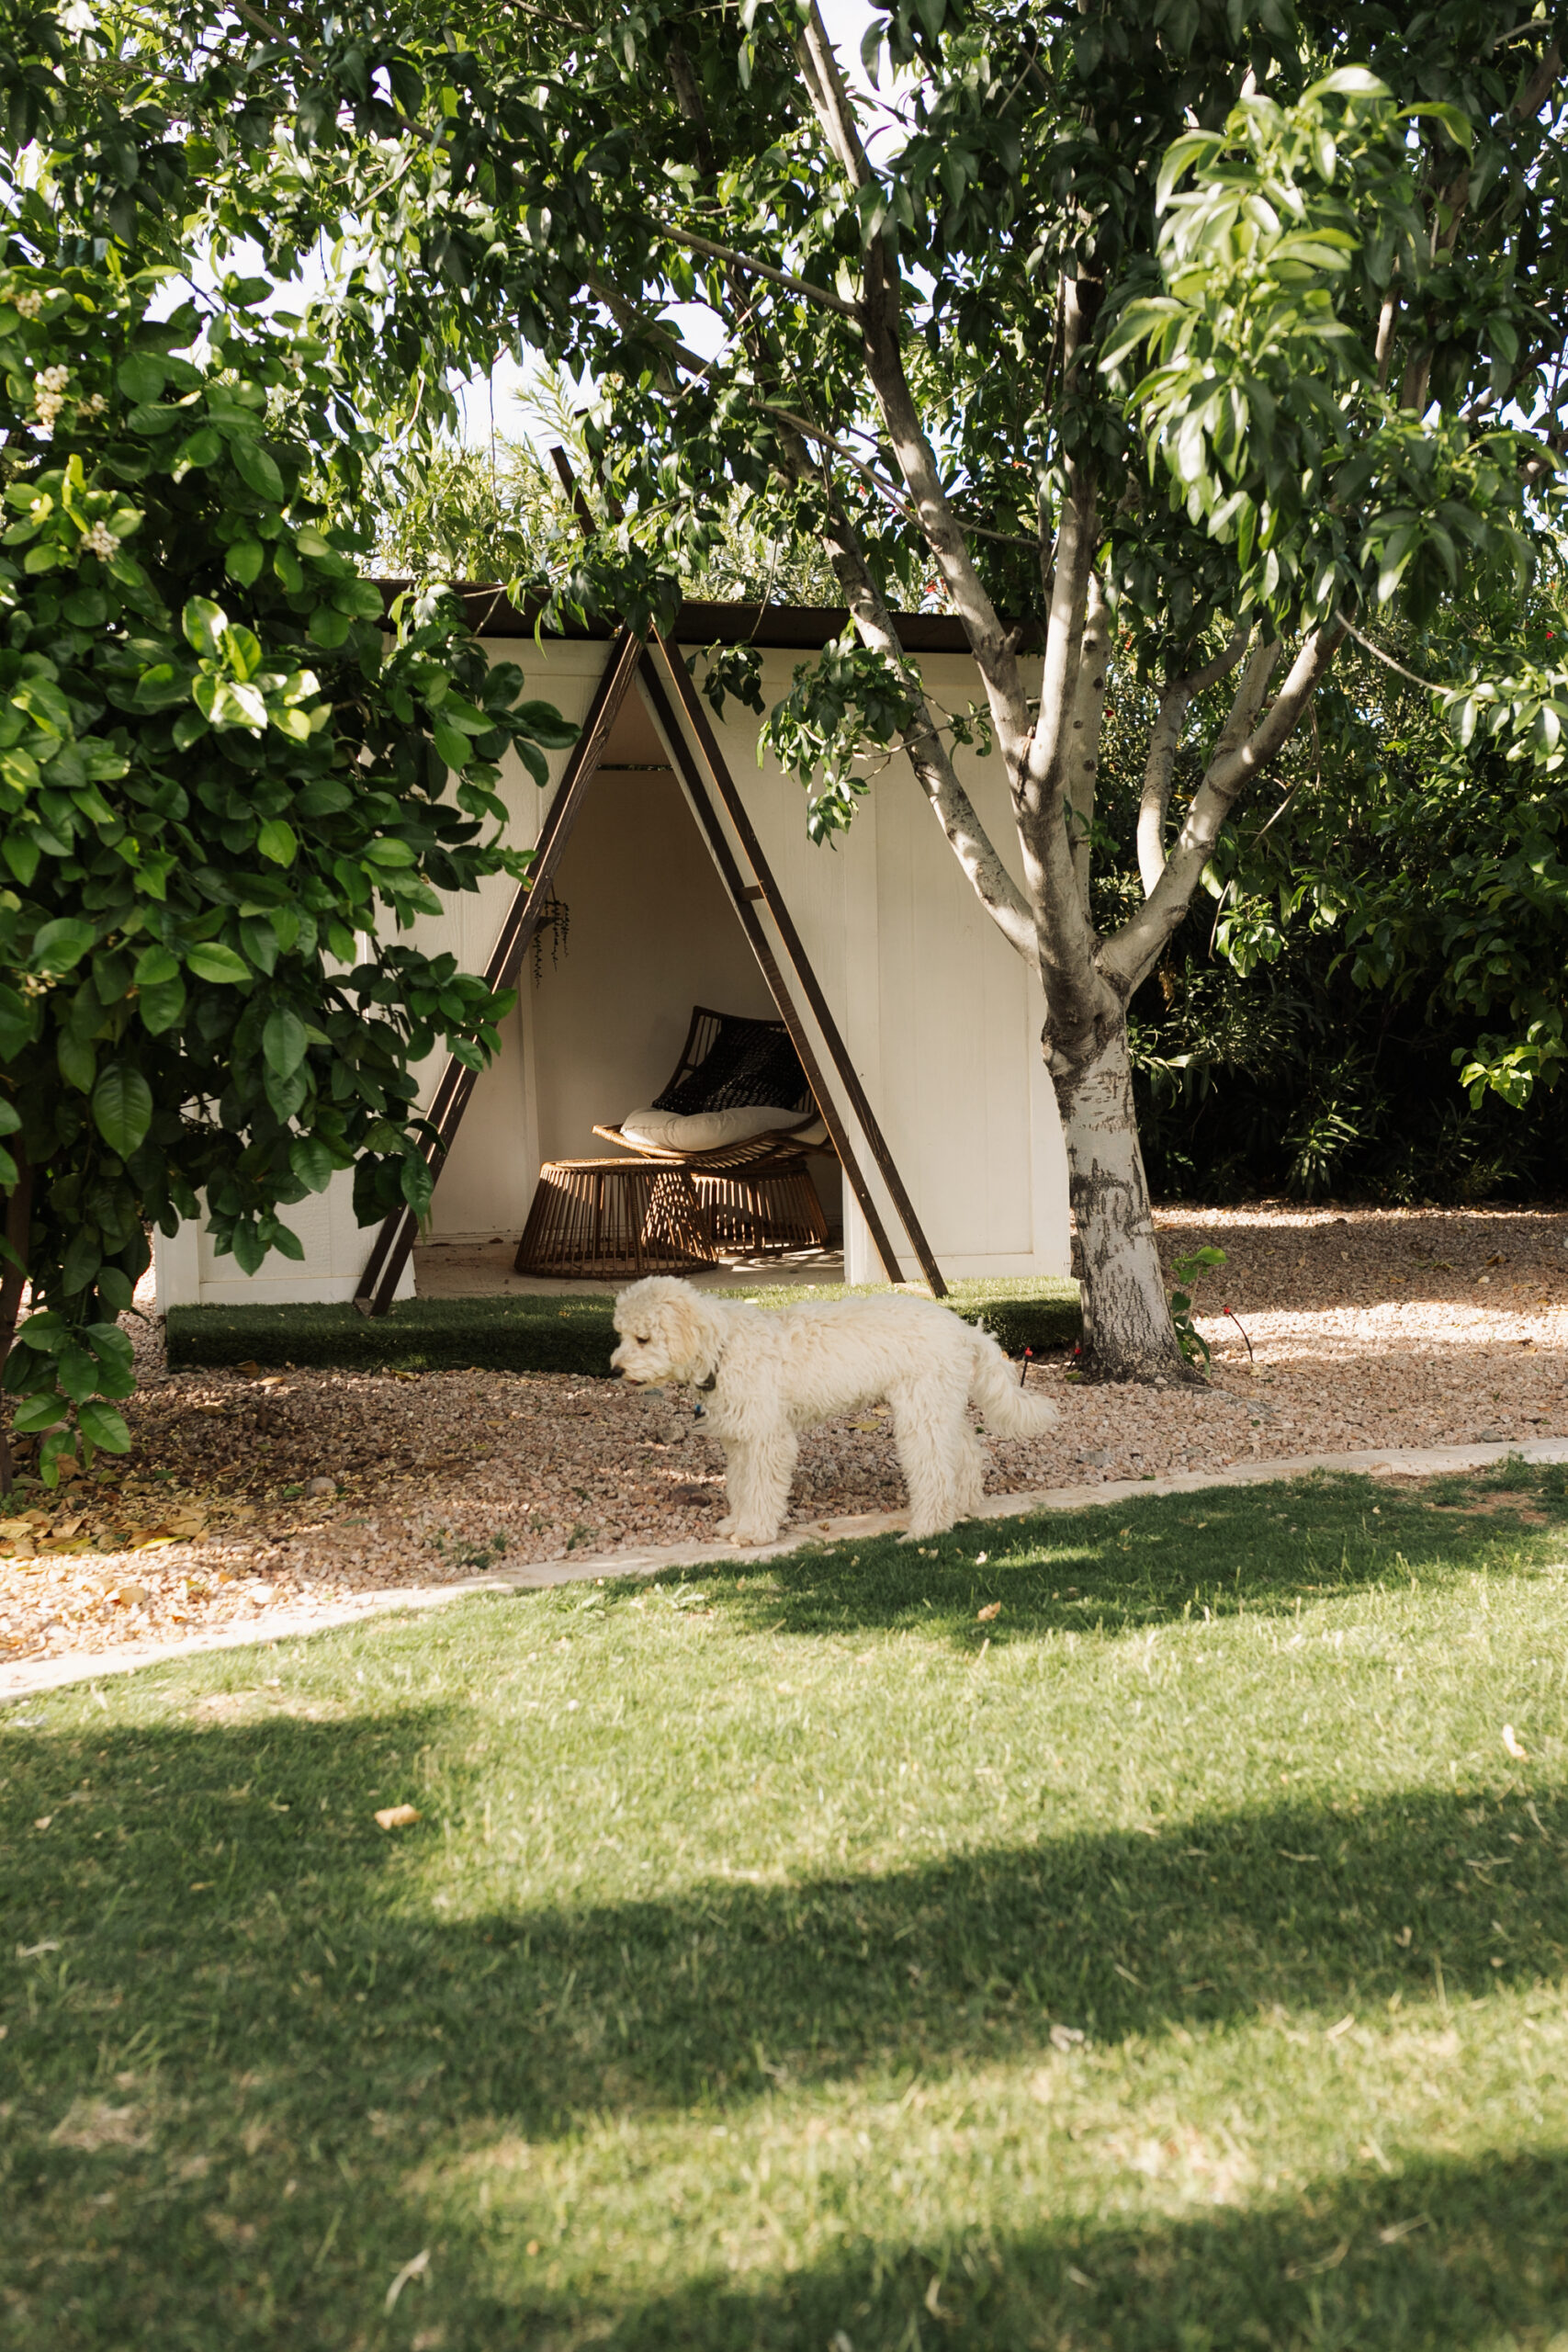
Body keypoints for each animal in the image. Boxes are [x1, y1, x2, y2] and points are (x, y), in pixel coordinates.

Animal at [606, 1288, 1062, 1543]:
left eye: (643, 1338)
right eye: (621, 1334)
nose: (615, 1369)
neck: (723, 1346)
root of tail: (964, 1329)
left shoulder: (766, 1438)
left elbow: (760, 1489)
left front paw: (754, 1533)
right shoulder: (740, 1439)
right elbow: (739, 1486)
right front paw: (736, 1524)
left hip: (921, 1411)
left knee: (934, 1469)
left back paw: (926, 1529)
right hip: (938, 1406)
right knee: (964, 1452)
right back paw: (962, 1505)